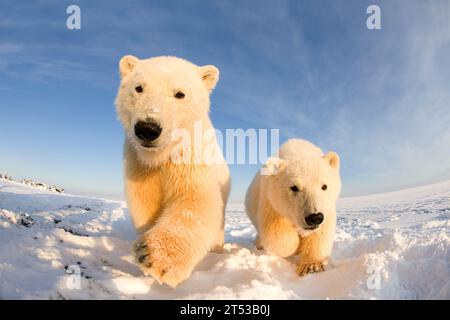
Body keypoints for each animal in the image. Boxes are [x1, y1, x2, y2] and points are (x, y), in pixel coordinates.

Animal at [114, 55, 230, 288]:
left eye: (180, 94)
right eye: (138, 88)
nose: (147, 128)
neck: (162, 155)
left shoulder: (191, 155)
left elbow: (195, 201)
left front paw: (152, 255)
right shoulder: (139, 163)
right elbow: (145, 201)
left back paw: (217, 247)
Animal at [246, 139, 342, 276]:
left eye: (324, 186)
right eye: (294, 187)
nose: (314, 217)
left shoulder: (327, 207)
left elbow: (321, 232)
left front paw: (311, 265)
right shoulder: (271, 202)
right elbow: (276, 233)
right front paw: (296, 248)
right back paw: (259, 243)